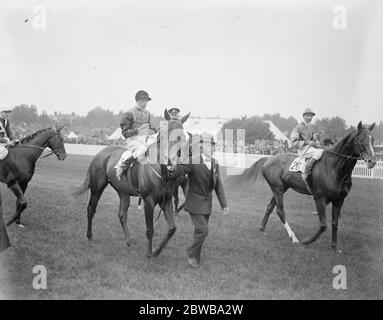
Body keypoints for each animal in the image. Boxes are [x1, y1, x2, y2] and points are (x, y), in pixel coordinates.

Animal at [73, 110, 190, 258]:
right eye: (163, 134)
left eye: (182, 136)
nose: (171, 163)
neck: (162, 172)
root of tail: (99, 154)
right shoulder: (149, 200)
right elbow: (150, 229)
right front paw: (149, 253)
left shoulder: (166, 200)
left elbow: (172, 229)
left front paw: (157, 251)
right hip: (97, 188)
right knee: (91, 210)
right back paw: (89, 236)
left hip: (123, 192)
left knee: (122, 214)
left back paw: (128, 241)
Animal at [231, 121, 378, 251]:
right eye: (360, 140)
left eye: (373, 140)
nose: (372, 161)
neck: (334, 168)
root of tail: (268, 158)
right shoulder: (319, 198)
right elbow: (323, 225)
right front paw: (307, 241)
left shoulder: (340, 200)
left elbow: (335, 223)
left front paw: (335, 247)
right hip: (277, 189)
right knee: (280, 211)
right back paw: (294, 237)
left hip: (280, 189)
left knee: (270, 207)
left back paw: (262, 228)